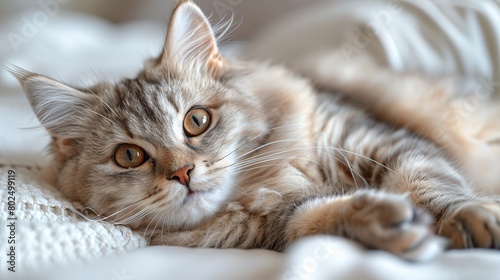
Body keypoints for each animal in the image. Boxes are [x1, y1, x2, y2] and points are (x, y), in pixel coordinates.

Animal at [10, 0, 500, 262]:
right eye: (129, 156)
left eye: (196, 121)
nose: (183, 173)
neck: (264, 185)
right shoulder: (282, 226)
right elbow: (318, 220)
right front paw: (386, 222)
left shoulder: (379, 139)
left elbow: (430, 183)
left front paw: (471, 218)